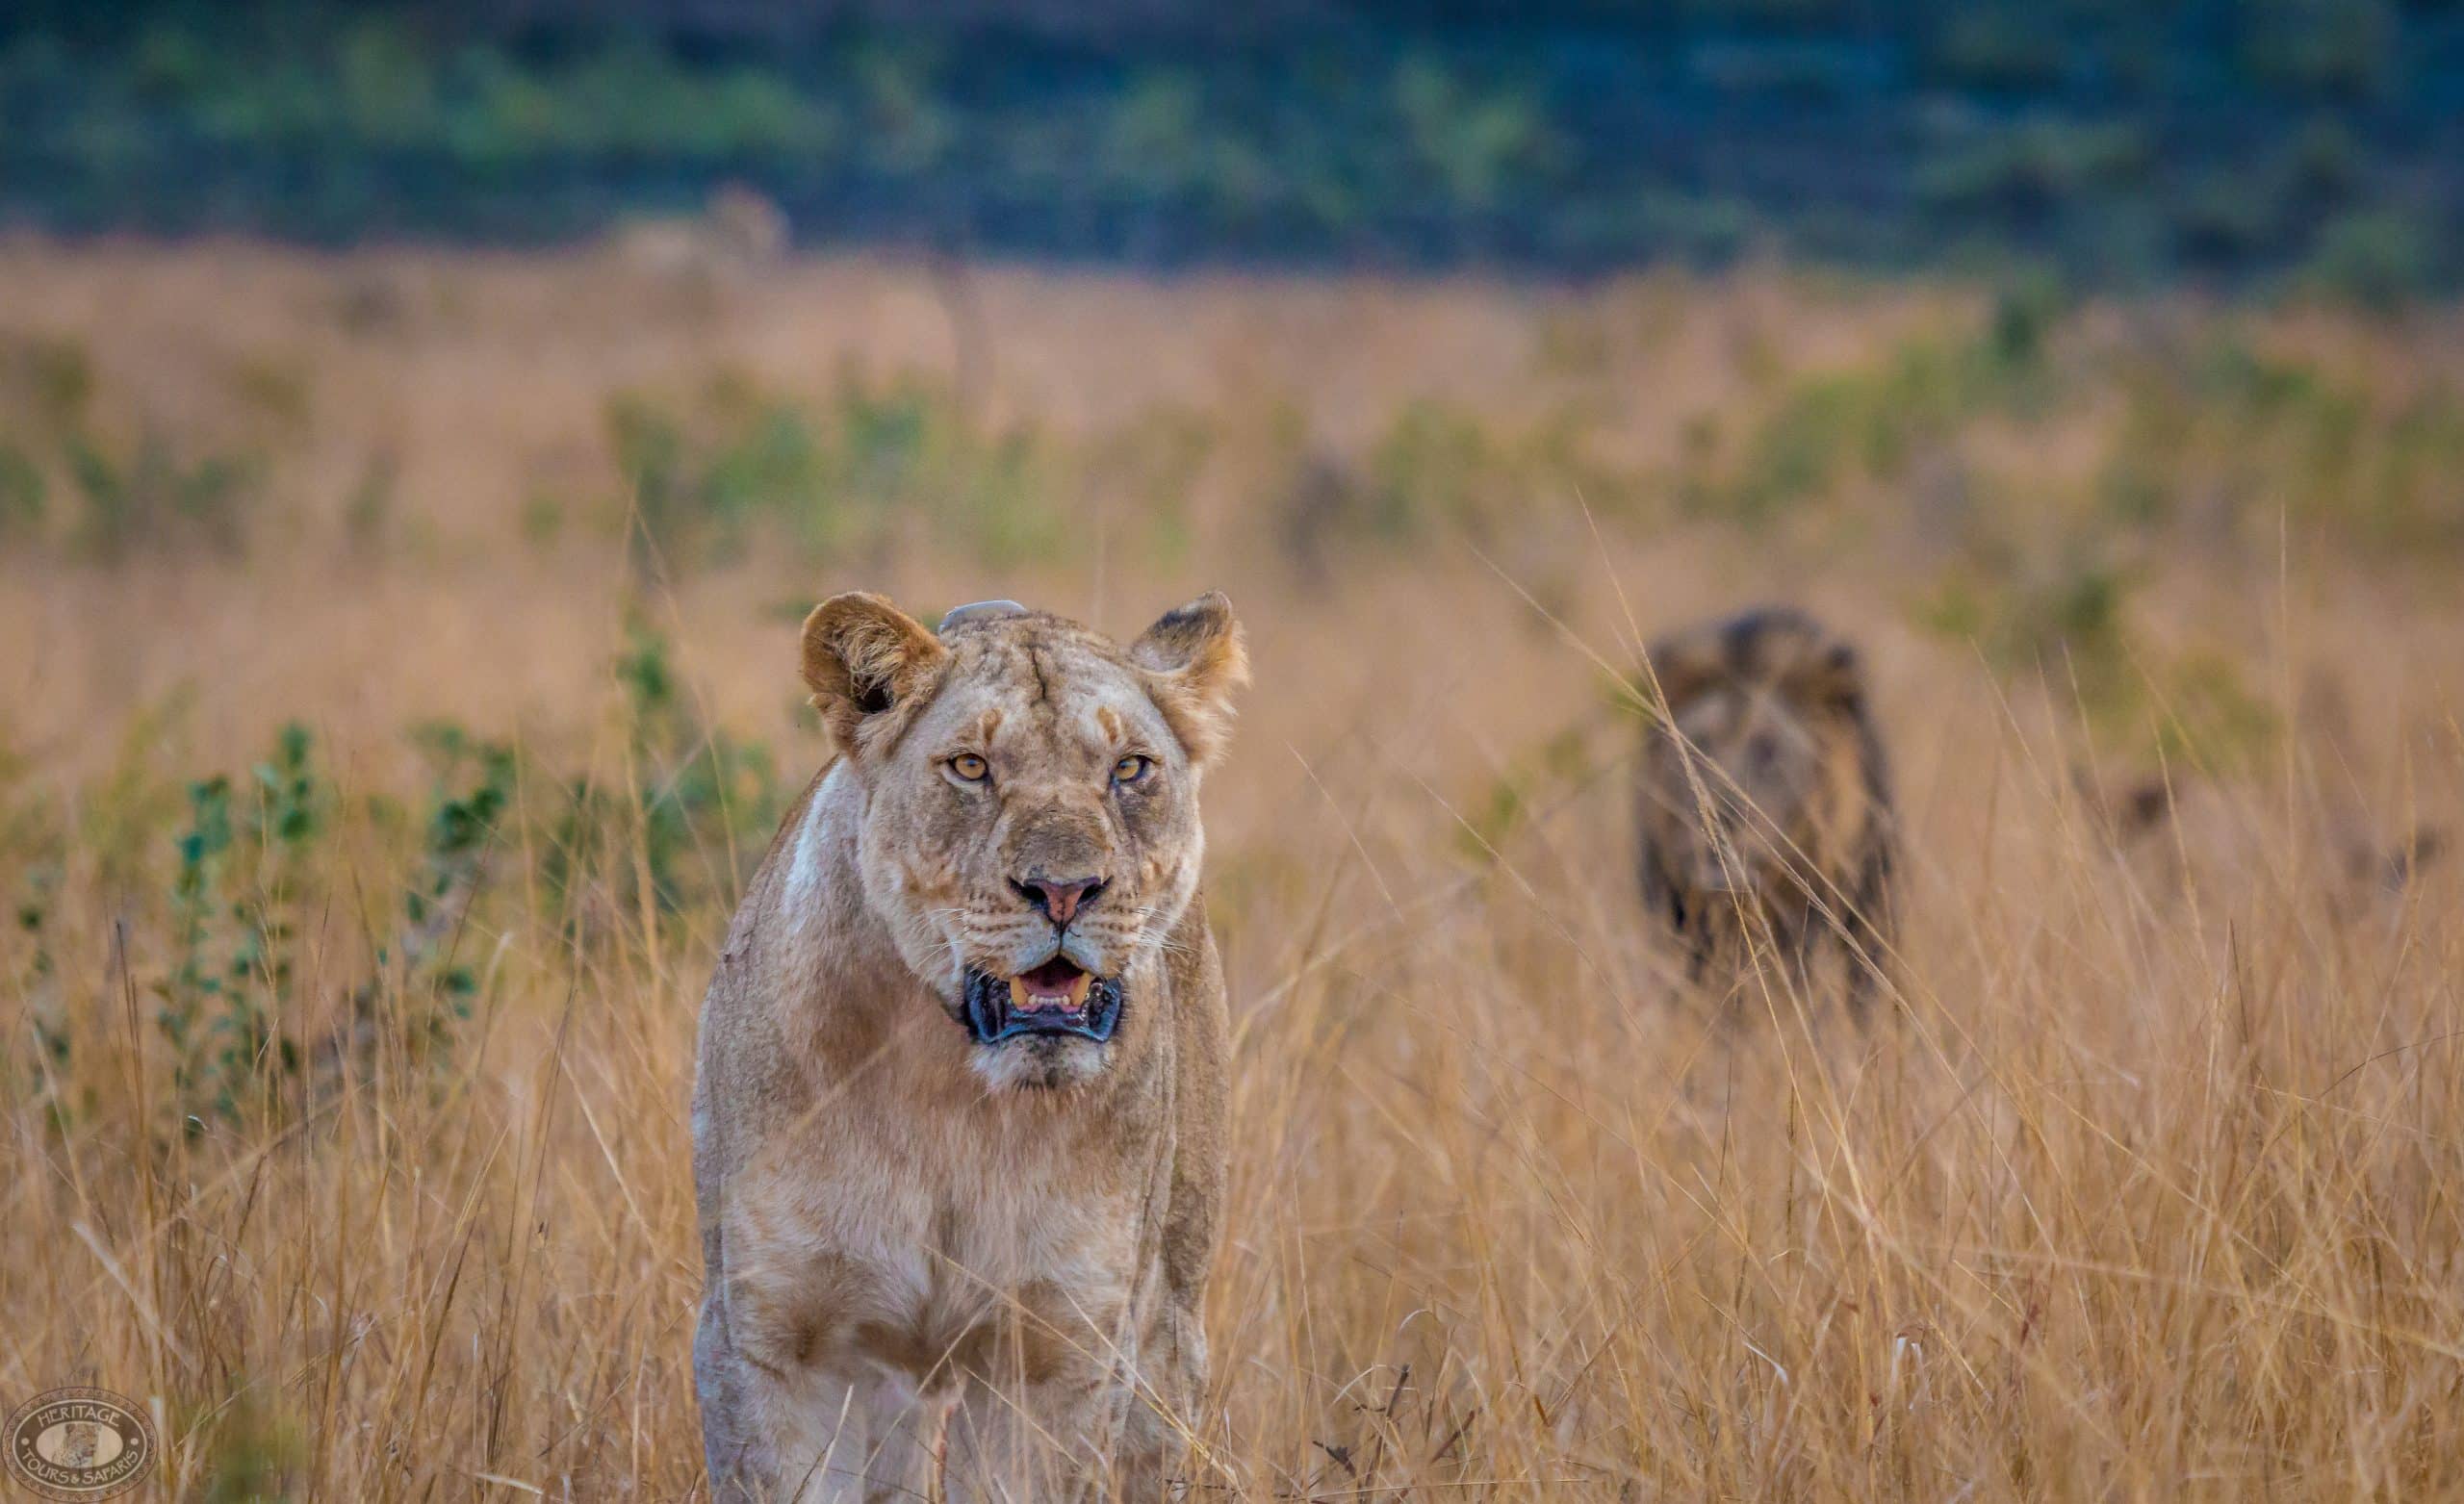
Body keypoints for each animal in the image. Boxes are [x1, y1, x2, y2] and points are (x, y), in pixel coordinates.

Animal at [691, 591, 1247, 1501]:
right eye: (971, 767)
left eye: (1129, 768)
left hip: (1168, 1323)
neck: (948, 1098)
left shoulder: (1058, 1351)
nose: (1065, 889)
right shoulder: (769, 1339)